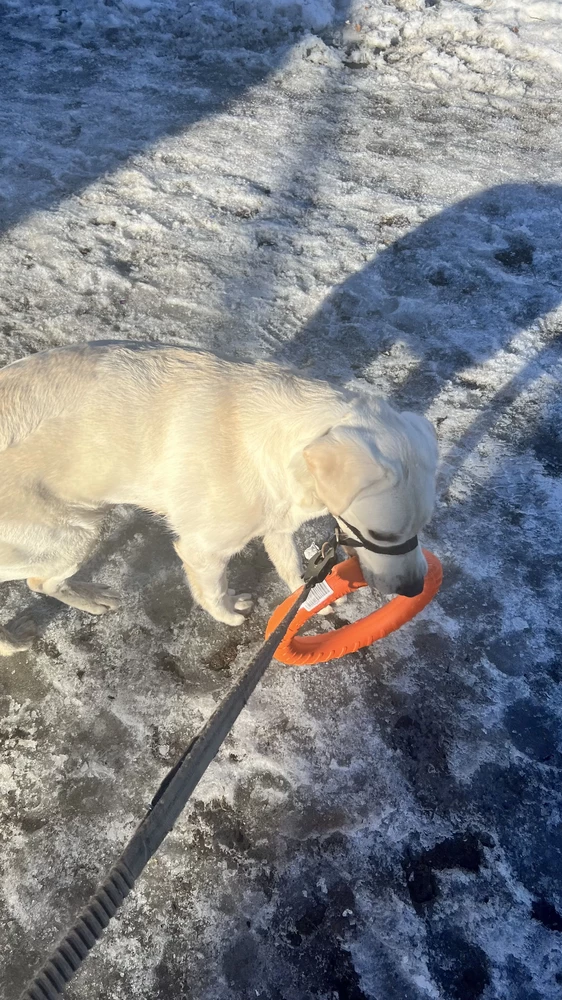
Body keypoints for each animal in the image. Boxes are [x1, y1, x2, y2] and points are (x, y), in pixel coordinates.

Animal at [0, 344, 438, 656]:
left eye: (423, 526)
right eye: (379, 533)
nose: (416, 588)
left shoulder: (278, 526)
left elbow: (292, 566)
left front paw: (308, 596)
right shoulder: (202, 550)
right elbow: (212, 591)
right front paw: (229, 615)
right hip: (73, 534)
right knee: (39, 579)